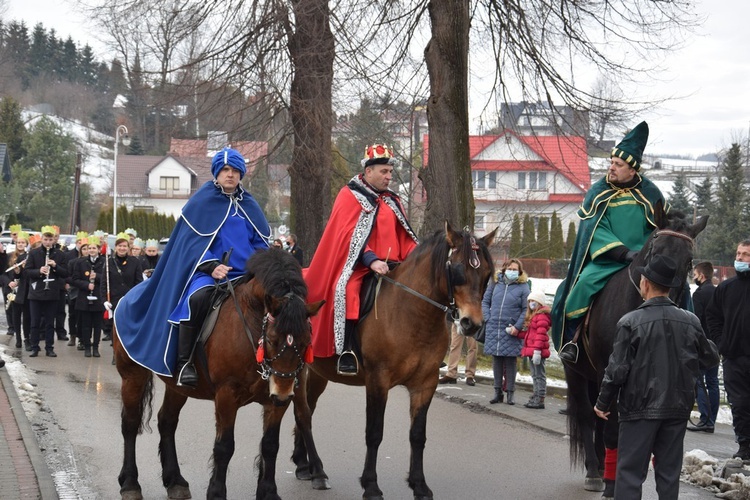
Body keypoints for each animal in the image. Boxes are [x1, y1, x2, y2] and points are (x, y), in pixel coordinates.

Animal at [114, 250, 328, 500]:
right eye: (272, 340)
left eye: (306, 341)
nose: (282, 393)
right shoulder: (227, 394)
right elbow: (224, 446)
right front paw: (216, 492)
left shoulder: (276, 400)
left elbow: (270, 445)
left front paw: (268, 492)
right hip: (132, 375)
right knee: (130, 423)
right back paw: (130, 483)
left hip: (177, 387)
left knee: (167, 421)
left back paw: (175, 480)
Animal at [294, 225, 500, 500]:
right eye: (457, 269)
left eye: (487, 273)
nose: (472, 324)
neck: (413, 314)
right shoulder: (378, 381)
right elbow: (374, 433)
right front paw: (371, 486)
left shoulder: (425, 384)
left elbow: (417, 435)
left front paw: (419, 485)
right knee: (303, 414)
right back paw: (317, 470)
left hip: (318, 373)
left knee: (306, 410)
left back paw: (303, 465)